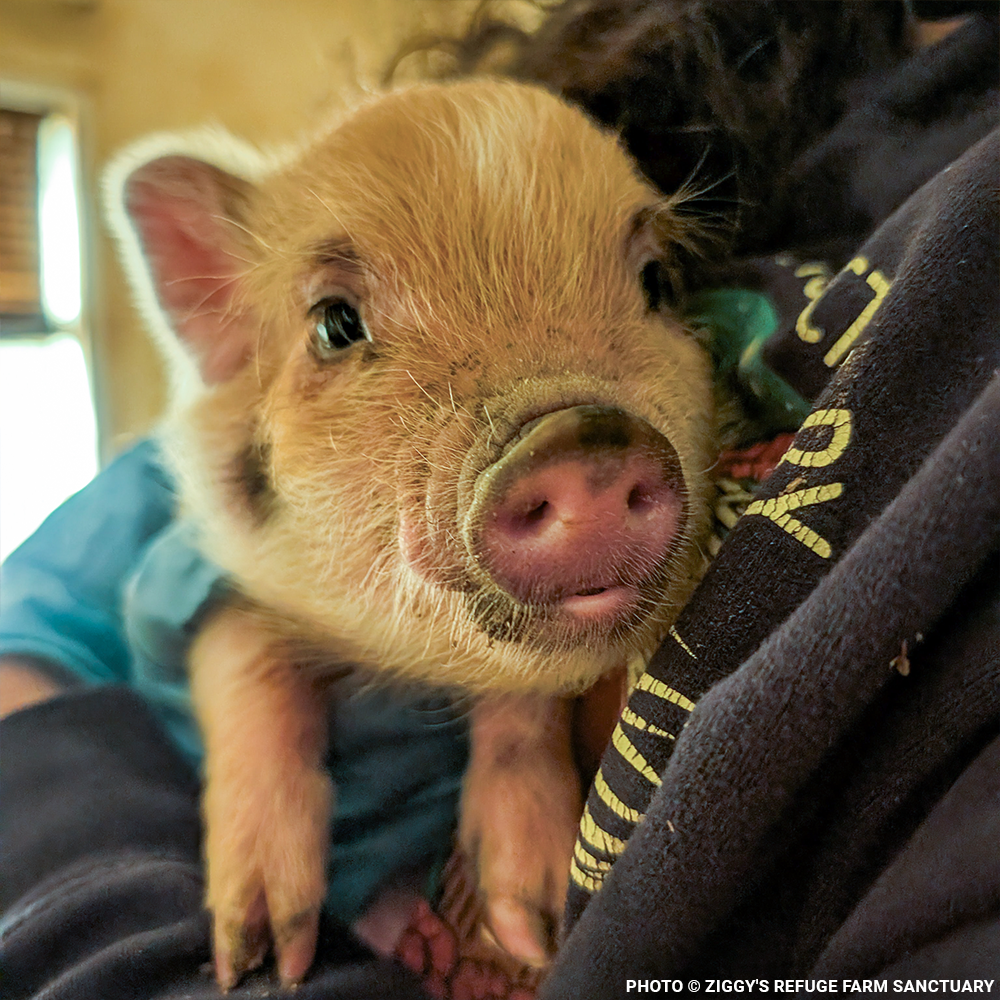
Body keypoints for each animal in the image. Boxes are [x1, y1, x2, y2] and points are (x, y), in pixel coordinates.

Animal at [107, 78, 716, 988]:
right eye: (334, 324)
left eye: (658, 281)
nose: (585, 439)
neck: (400, 665)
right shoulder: (186, 577)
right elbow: (246, 656)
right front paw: (261, 958)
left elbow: (521, 706)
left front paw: (534, 925)